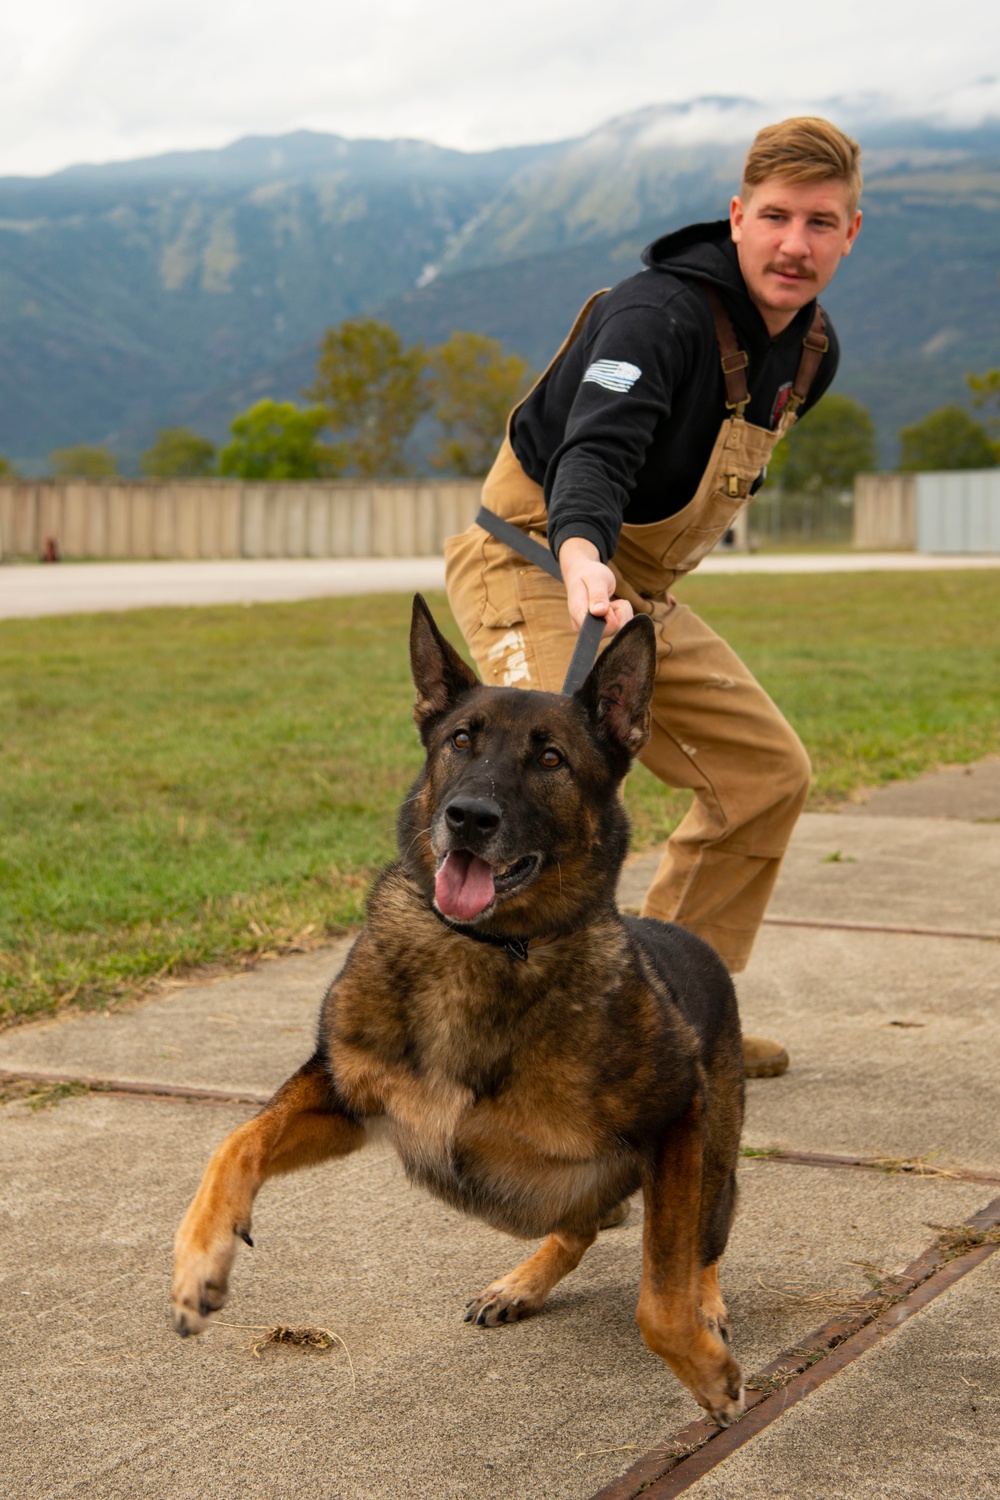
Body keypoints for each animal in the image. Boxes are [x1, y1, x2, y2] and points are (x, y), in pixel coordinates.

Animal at [173, 594, 743, 1416]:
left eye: (551, 759)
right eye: (461, 741)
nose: (469, 817)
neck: (486, 949)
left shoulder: (673, 1119)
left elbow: (658, 1295)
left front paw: (703, 1365)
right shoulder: (346, 1098)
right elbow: (236, 1141)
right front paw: (198, 1261)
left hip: (713, 1154)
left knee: (700, 1240)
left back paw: (707, 1305)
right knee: (584, 1226)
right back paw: (522, 1283)